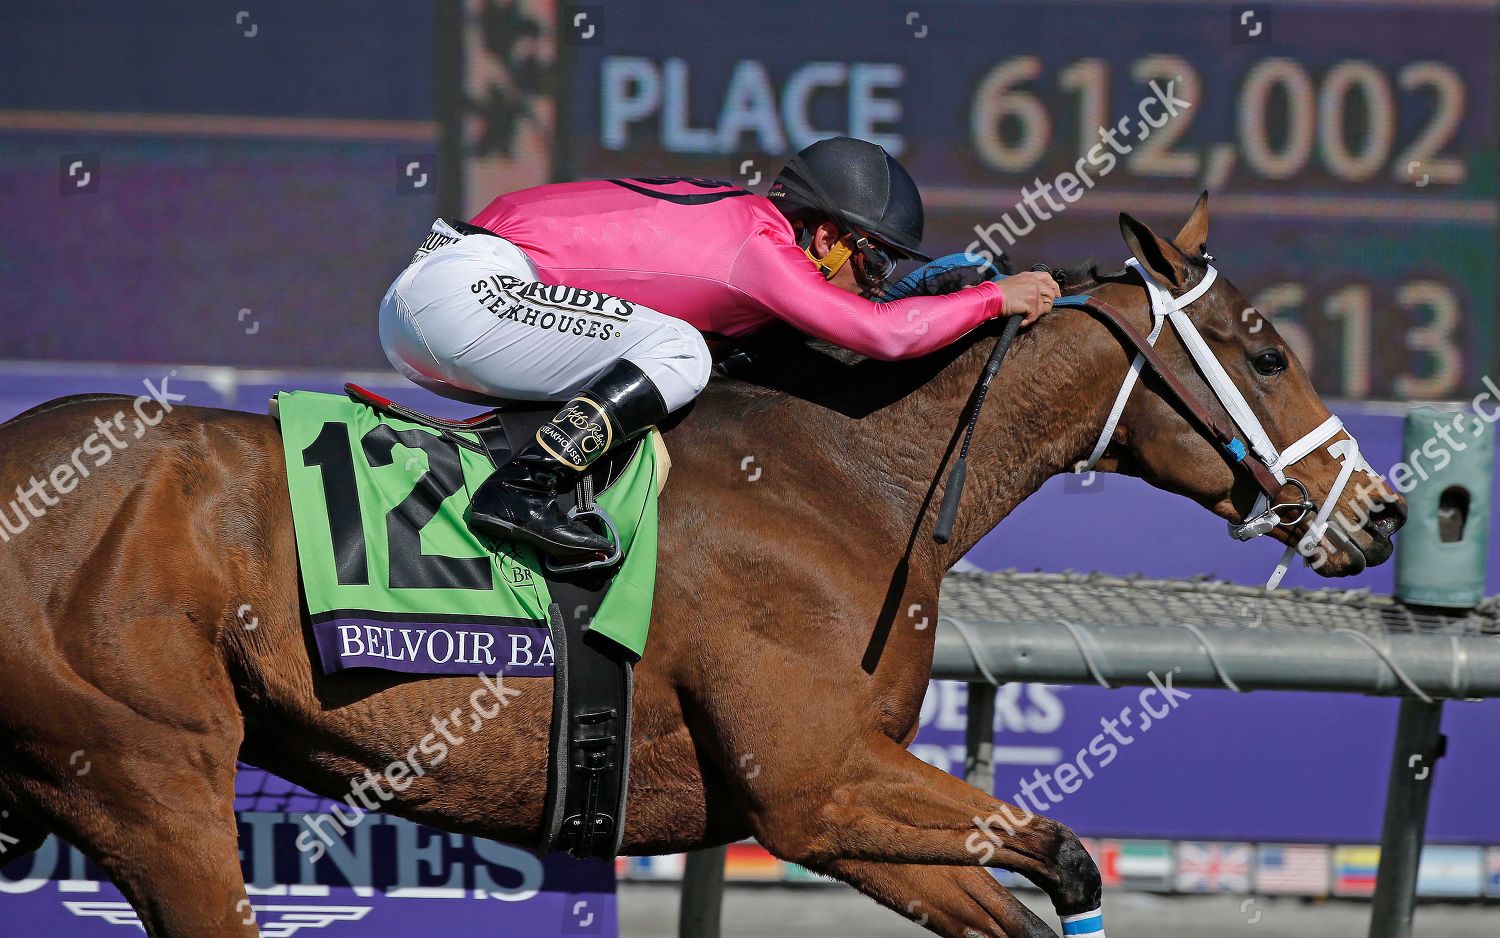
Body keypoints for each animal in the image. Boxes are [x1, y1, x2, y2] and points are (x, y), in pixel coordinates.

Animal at [0, 193, 1398, 930]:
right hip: (151, 773)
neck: (847, 479)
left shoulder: (832, 812)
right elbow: (1063, 856)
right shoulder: (813, 779)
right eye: (1267, 351)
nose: (1381, 511)